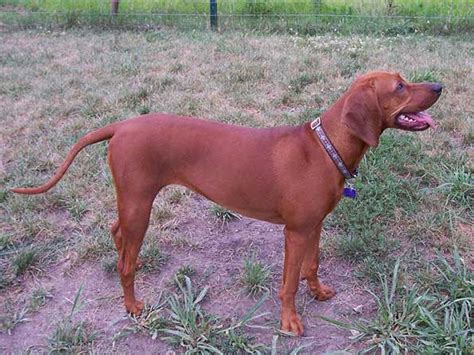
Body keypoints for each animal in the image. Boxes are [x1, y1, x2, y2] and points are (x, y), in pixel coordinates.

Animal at [11, 71, 440, 336]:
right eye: (400, 86)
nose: (438, 85)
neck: (325, 146)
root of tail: (122, 125)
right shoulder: (295, 232)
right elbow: (288, 283)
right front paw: (289, 321)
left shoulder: (314, 225)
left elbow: (312, 266)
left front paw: (317, 291)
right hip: (139, 205)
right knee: (126, 262)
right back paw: (132, 305)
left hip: (132, 203)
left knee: (116, 233)